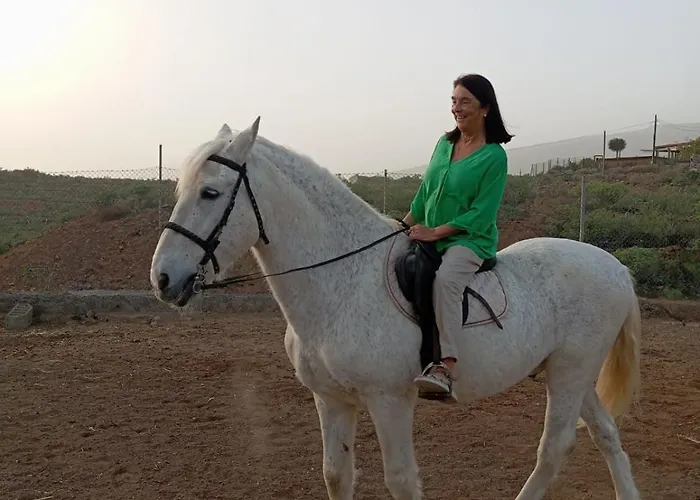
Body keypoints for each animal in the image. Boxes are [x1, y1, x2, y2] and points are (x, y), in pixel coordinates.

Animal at [150, 118, 642, 500]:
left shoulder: (389, 401)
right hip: (571, 373)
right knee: (606, 435)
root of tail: (615, 267)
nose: (163, 279)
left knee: (554, 449)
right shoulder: (331, 399)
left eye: (210, 193)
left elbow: (401, 481)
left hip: (569, 373)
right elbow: (337, 475)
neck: (343, 282)